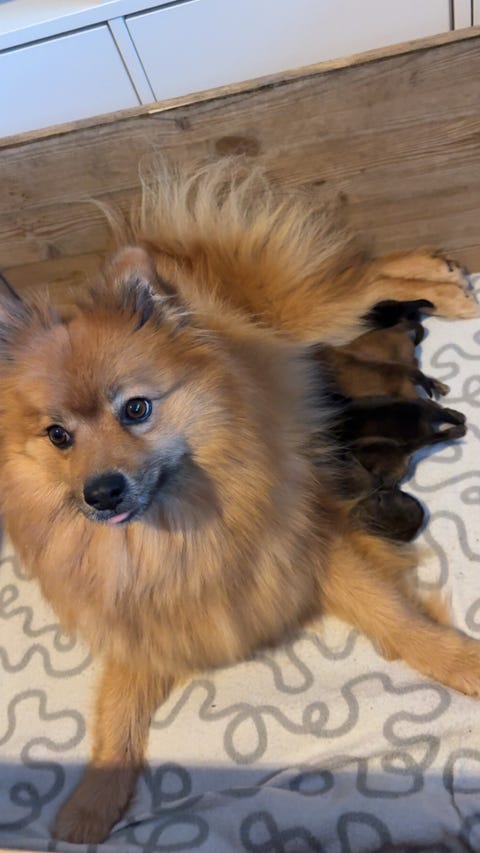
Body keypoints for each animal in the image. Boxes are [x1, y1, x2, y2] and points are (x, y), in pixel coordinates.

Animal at [0, 161, 478, 843]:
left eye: (136, 409)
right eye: (58, 436)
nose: (101, 490)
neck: (173, 535)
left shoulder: (317, 546)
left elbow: (398, 621)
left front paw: (464, 663)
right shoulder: (146, 626)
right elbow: (116, 714)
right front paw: (91, 804)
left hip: (300, 314)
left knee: (365, 277)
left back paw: (448, 281)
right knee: (367, 283)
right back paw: (444, 279)